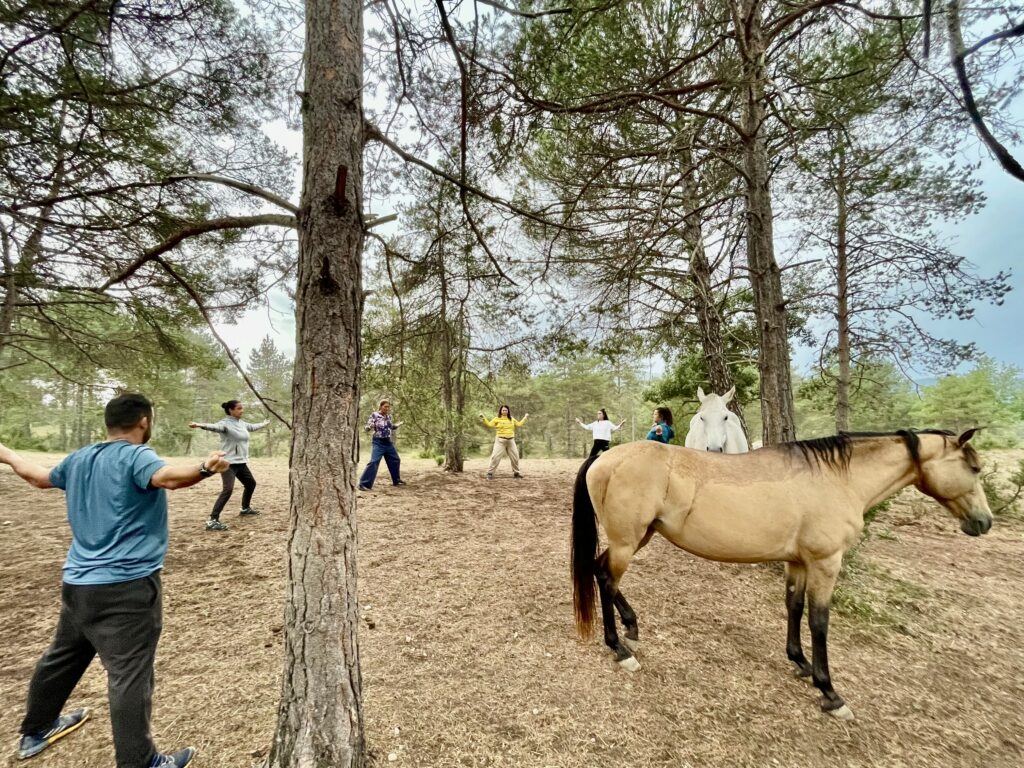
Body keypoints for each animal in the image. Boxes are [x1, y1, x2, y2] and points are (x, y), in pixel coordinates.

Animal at [570, 429, 991, 720]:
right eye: (973, 468)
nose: (984, 522)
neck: (838, 480)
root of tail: (605, 458)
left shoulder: (799, 562)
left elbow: (794, 607)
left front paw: (799, 663)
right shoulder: (825, 562)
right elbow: (819, 622)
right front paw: (830, 693)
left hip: (639, 537)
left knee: (601, 572)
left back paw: (631, 626)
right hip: (628, 542)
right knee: (606, 578)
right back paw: (620, 649)